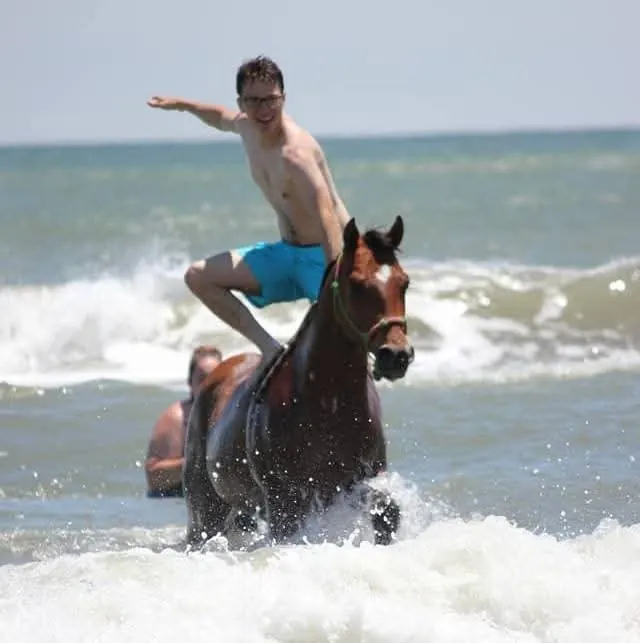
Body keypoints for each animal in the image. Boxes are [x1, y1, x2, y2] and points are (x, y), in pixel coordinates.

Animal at [183, 215, 414, 548]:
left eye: (404, 283)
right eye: (357, 284)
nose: (396, 355)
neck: (327, 399)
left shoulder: (363, 479)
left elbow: (387, 511)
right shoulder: (286, 501)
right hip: (205, 506)